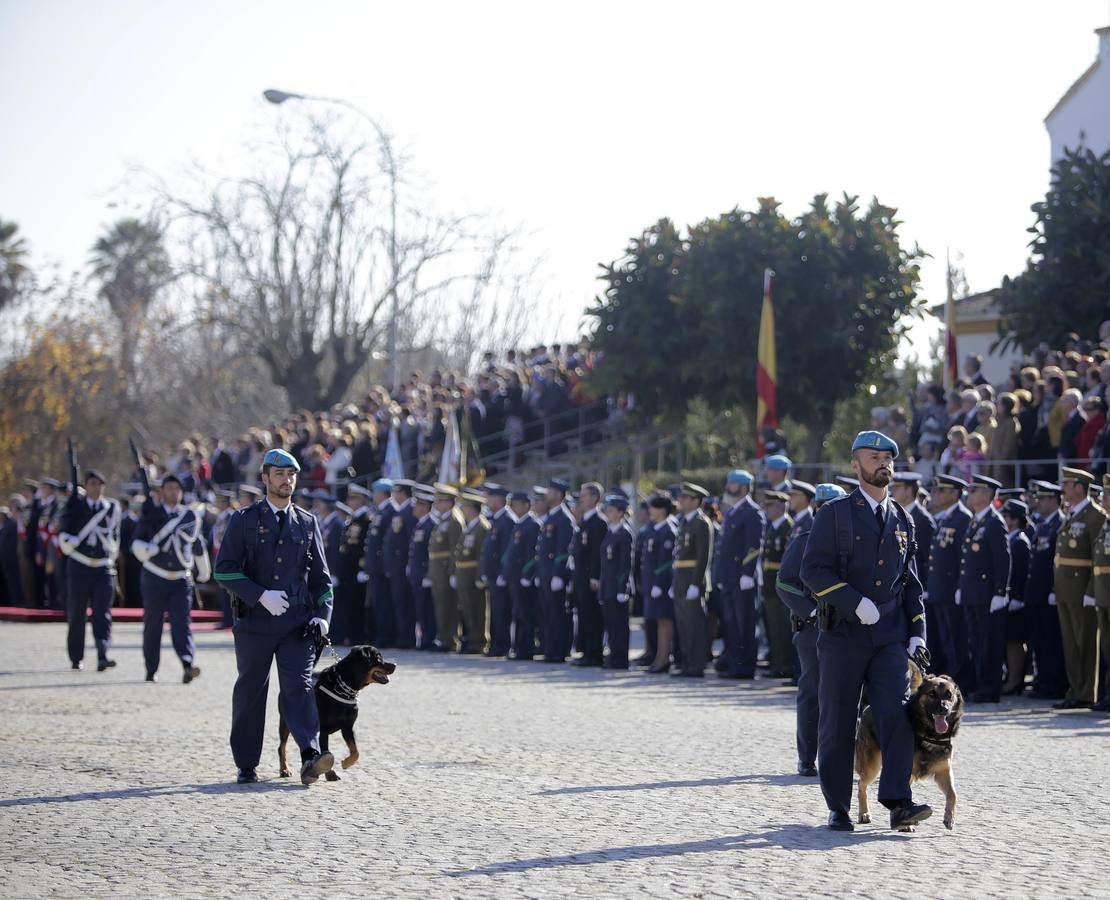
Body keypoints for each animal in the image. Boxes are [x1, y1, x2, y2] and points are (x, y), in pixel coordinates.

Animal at [276, 648, 395, 781]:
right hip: (285, 721)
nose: (395, 665)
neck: (344, 688)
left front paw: (346, 763)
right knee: (282, 747)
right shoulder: (322, 730)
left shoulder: (348, 727)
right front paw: (330, 773)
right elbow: (326, 750)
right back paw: (284, 770)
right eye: (378, 658)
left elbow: (356, 751)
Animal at [856, 661, 963, 830]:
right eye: (932, 694)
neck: (929, 732)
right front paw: (905, 821)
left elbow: (953, 794)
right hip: (872, 766)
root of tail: (868, 707)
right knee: (861, 784)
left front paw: (949, 818)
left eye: (949, 695)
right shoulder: (905, 772)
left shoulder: (943, 771)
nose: (944, 709)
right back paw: (864, 814)